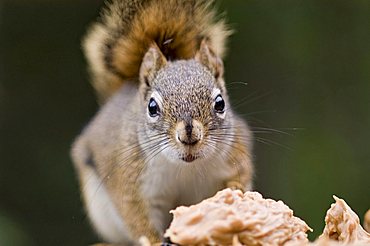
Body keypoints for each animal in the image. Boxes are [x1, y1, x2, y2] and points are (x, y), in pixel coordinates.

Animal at [71, 0, 253, 243]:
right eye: (152, 107)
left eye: (220, 103)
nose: (189, 135)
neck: (185, 168)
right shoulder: (129, 178)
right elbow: (137, 217)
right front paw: (156, 241)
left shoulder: (236, 148)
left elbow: (241, 174)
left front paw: (236, 191)